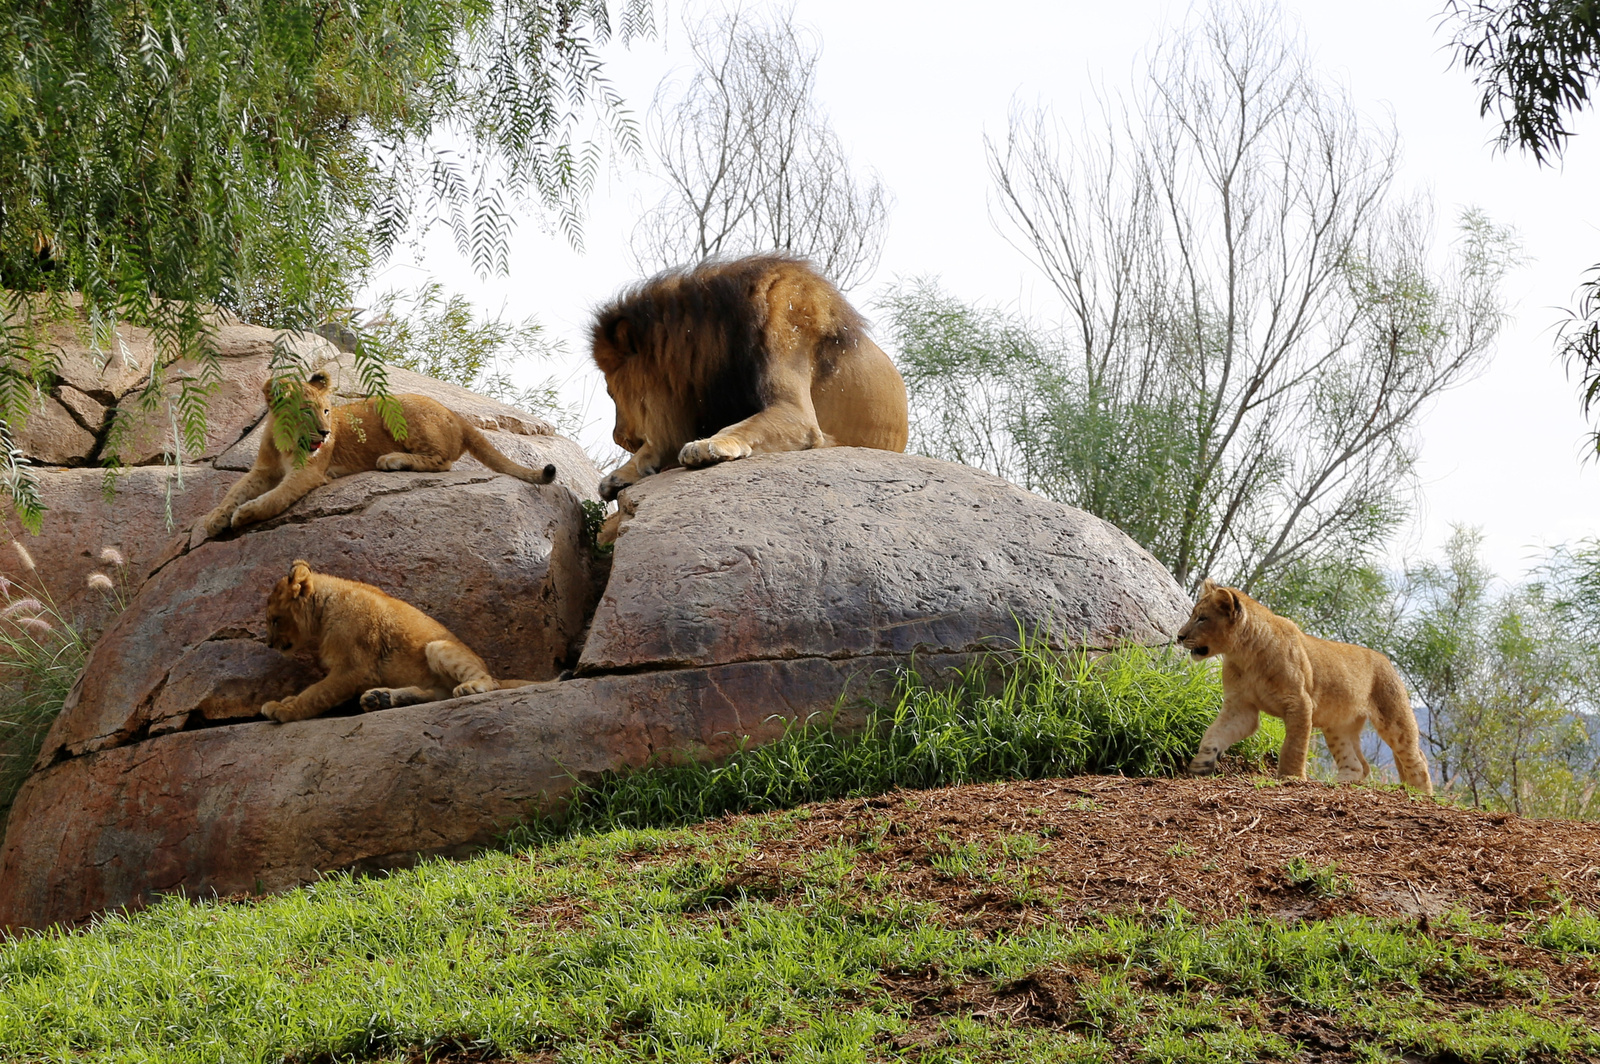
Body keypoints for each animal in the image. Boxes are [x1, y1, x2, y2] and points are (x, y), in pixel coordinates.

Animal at [195, 372, 556, 540]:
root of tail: (457, 415)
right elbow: (234, 491)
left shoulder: (308, 472)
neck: (286, 442)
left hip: (399, 408)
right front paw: (215, 518)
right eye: (306, 412)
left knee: (443, 461)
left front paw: (244, 514)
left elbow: (276, 497)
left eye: (327, 411)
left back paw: (392, 460)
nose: (325, 434)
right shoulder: (263, 470)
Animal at [259, 556, 534, 723]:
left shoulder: (354, 668)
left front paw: (284, 709)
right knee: (439, 695)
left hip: (438, 647)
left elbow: (316, 693)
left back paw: (470, 687)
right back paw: (382, 698)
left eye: (274, 620)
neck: (325, 609)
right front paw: (286, 700)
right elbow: (313, 691)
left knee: (490, 682)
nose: (269, 644)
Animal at [592, 252, 915, 499]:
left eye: (611, 393)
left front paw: (705, 446)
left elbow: (744, 427)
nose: (620, 439)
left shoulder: (798, 414)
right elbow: (653, 447)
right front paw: (619, 475)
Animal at [1184, 576, 1433, 793]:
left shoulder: (1300, 702)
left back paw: (1420, 792)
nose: (1179, 636)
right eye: (1194, 615)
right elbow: (1215, 733)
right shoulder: (1241, 707)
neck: (1243, 655)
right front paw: (1201, 763)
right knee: (1358, 764)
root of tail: (1386, 659)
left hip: (1393, 716)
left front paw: (1291, 777)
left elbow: (1293, 745)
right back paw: (1336, 784)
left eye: (1202, 618)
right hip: (1338, 725)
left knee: (1416, 756)